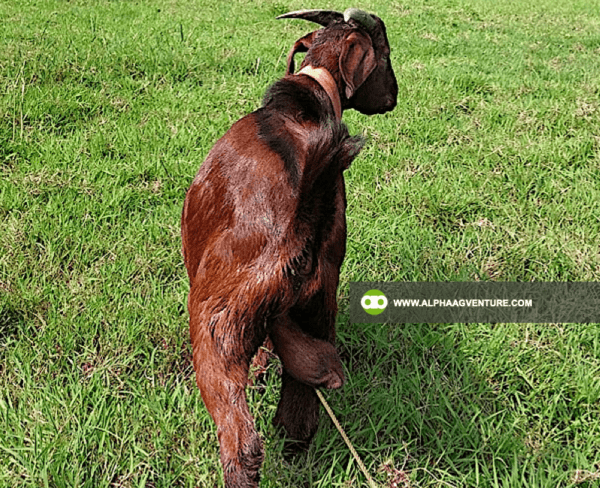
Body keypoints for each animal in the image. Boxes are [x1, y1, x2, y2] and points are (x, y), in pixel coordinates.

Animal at [183, 8, 398, 488]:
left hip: (217, 325)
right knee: (300, 411)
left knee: (241, 439)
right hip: (315, 308)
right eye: (386, 54)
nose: (393, 97)